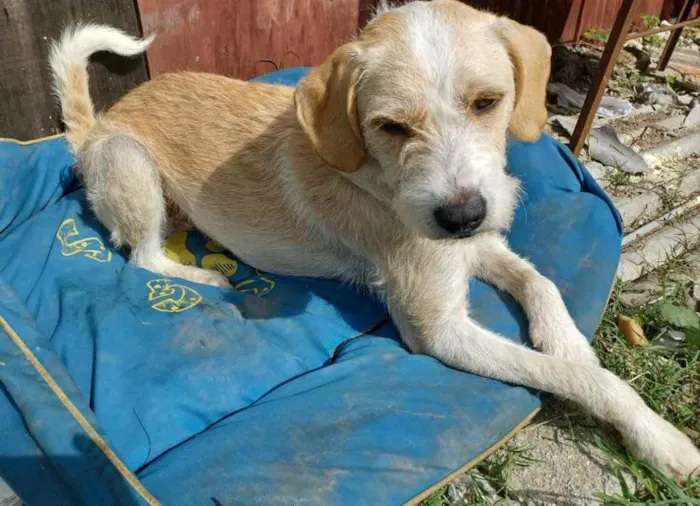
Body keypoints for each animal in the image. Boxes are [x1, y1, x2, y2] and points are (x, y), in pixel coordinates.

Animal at [50, 0, 700, 482]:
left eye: (488, 102)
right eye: (390, 127)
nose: (462, 215)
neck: (379, 180)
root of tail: (98, 125)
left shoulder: (476, 247)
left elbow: (541, 283)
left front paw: (567, 343)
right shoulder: (438, 329)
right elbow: (581, 379)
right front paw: (659, 437)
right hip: (133, 167)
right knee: (141, 257)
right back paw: (203, 273)